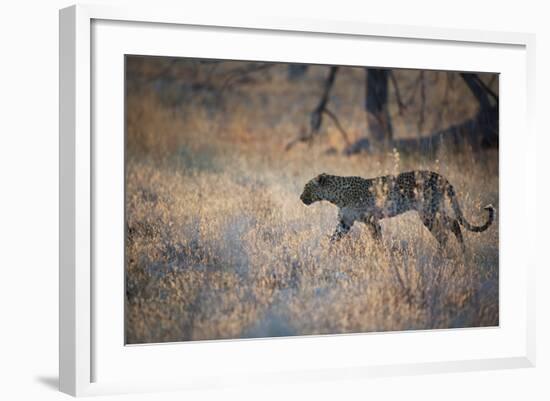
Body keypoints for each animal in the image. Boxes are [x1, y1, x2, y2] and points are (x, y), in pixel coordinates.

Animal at [300, 169, 498, 250]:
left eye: (307, 187)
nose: (301, 198)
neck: (335, 196)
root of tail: (440, 176)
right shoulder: (345, 222)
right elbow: (333, 239)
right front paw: (327, 255)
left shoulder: (371, 220)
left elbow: (377, 239)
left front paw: (380, 255)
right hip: (434, 209)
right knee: (454, 223)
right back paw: (461, 253)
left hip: (427, 211)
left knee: (443, 233)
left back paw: (444, 255)